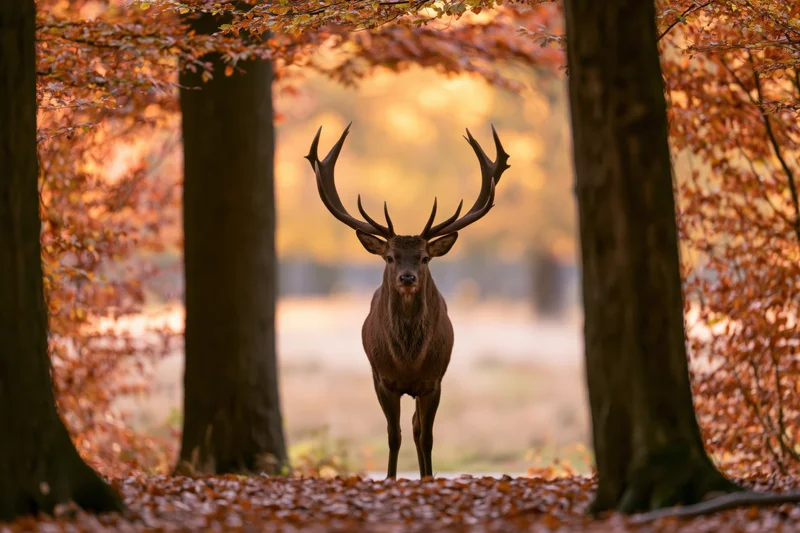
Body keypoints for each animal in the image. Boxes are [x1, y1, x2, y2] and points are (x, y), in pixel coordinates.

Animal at [304, 123, 509, 480]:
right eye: (389, 256)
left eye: (425, 257)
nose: (407, 278)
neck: (409, 359)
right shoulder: (382, 379)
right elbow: (393, 434)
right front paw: (390, 477)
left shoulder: (434, 380)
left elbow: (425, 435)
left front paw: (428, 477)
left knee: (417, 428)